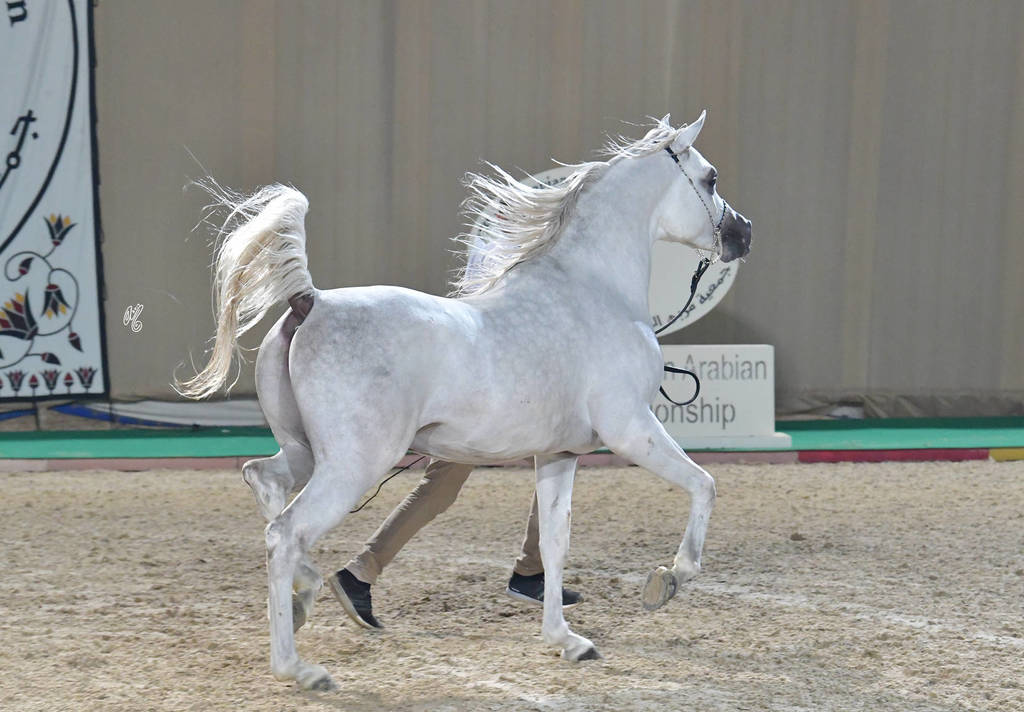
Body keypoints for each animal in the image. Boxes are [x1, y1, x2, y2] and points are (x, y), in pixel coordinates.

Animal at [178, 111, 752, 690]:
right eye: (710, 179)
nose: (743, 234)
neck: (594, 290)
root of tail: (308, 301)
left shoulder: (558, 454)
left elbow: (554, 542)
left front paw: (566, 640)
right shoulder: (631, 429)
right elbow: (704, 485)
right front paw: (668, 580)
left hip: (308, 452)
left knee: (263, 480)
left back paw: (305, 595)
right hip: (354, 464)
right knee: (284, 533)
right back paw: (298, 665)